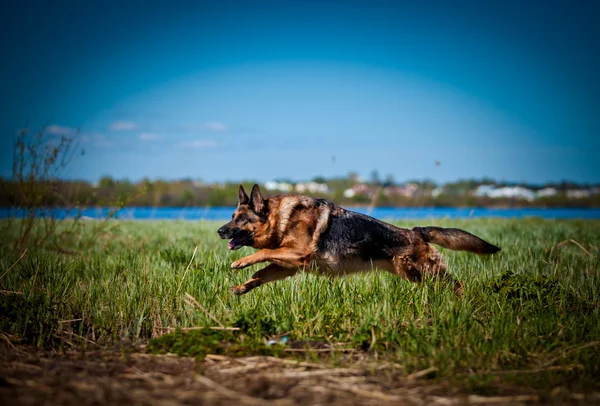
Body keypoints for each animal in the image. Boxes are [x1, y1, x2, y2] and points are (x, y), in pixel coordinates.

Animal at [218, 185, 500, 294]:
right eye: (232, 217)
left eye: (240, 219)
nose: (220, 231)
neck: (280, 219)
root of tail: (415, 231)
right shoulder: (288, 265)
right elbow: (261, 274)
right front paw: (242, 287)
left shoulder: (297, 253)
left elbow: (262, 254)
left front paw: (241, 262)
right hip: (415, 275)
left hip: (427, 273)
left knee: (458, 285)